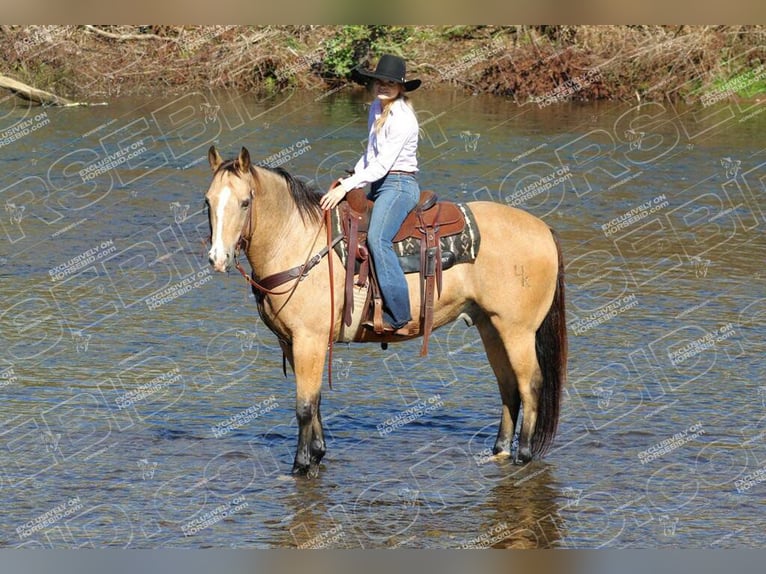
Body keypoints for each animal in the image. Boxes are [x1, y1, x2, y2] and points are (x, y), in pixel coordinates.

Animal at [204, 146, 568, 480]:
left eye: (245, 203)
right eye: (208, 202)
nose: (218, 258)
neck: (300, 242)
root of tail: (543, 229)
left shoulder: (309, 339)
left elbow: (305, 407)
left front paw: (300, 466)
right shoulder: (292, 343)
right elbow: (316, 403)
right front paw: (318, 455)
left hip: (517, 330)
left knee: (530, 385)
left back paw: (523, 455)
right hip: (490, 325)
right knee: (508, 385)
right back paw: (498, 451)